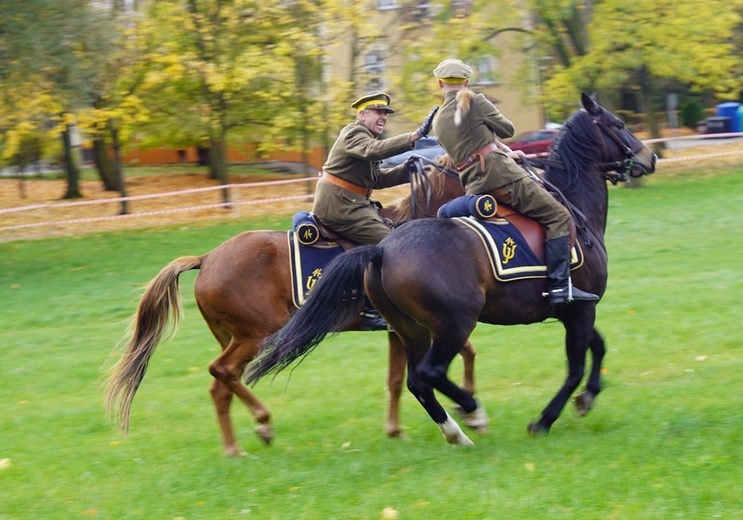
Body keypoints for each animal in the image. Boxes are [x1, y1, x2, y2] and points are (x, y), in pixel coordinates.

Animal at [103, 161, 476, 456]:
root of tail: (207, 258)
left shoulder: (402, 331)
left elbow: (399, 378)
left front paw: (401, 428)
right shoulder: (424, 325)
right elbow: (451, 357)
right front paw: (466, 409)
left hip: (232, 338)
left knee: (221, 386)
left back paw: (234, 448)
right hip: (255, 335)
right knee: (222, 372)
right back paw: (263, 422)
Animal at [248, 95, 656, 444]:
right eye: (619, 124)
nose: (650, 157)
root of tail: (381, 248)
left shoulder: (575, 309)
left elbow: (598, 348)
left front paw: (587, 398)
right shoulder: (581, 309)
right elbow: (576, 366)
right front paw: (546, 418)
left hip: (411, 329)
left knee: (417, 381)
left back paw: (455, 432)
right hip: (454, 324)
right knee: (430, 374)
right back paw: (473, 412)